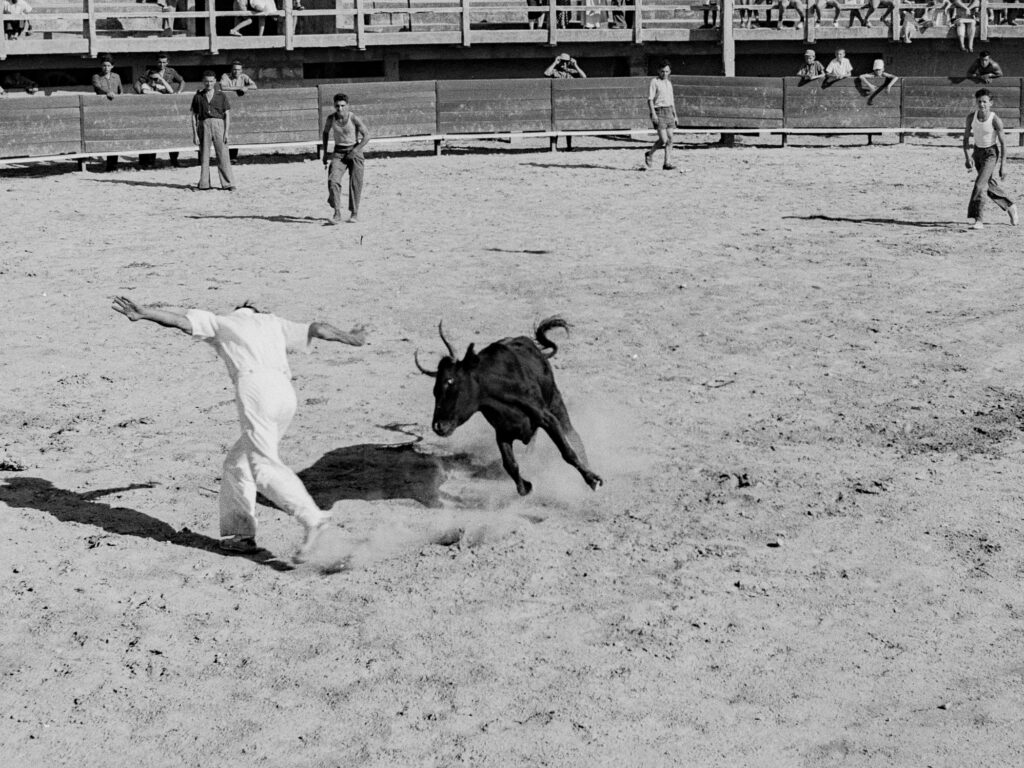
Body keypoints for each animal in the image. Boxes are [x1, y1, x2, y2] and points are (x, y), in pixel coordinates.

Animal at [415, 316, 603, 496]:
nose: (438, 426)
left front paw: (592, 480)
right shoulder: (502, 432)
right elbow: (510, 464)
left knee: (573, 435)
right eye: (434, 390)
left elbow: (567, 451)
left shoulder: (547, 418)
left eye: (450, 382)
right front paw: (526, 486)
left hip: (556, 401)